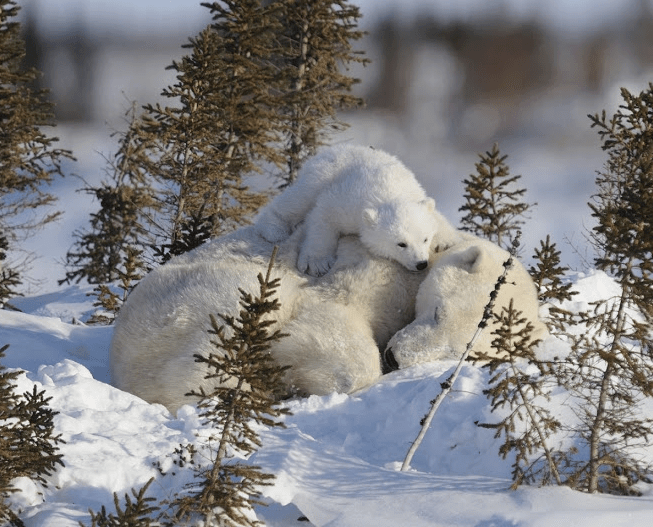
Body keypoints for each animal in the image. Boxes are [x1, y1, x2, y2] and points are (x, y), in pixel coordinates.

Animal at [255, 144, 460, 277]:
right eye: (401, 244)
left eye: (425, 239)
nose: (421, 264)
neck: (389, 191)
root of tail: (329, 151)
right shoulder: (346, 201)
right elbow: (323, 216)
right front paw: (317, 263)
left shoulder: (415, 191)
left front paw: (445, 240)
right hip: (321, 174)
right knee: (298, 199)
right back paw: (274, 229)